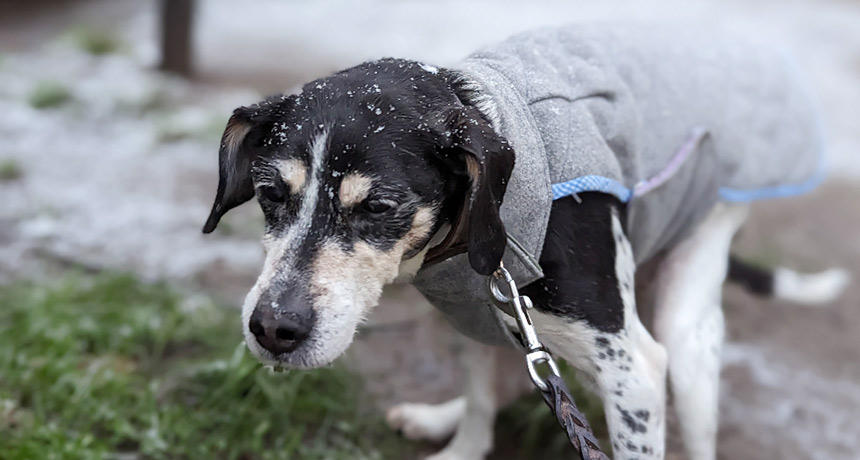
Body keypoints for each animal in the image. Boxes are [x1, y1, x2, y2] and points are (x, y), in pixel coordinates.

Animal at [200, 26, 848, 460]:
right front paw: (461, 440)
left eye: (379, 207)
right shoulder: (476, 309)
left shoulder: (634, 369)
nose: (273, 328)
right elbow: (483, 401)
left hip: (688, 317)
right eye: (270, 195)